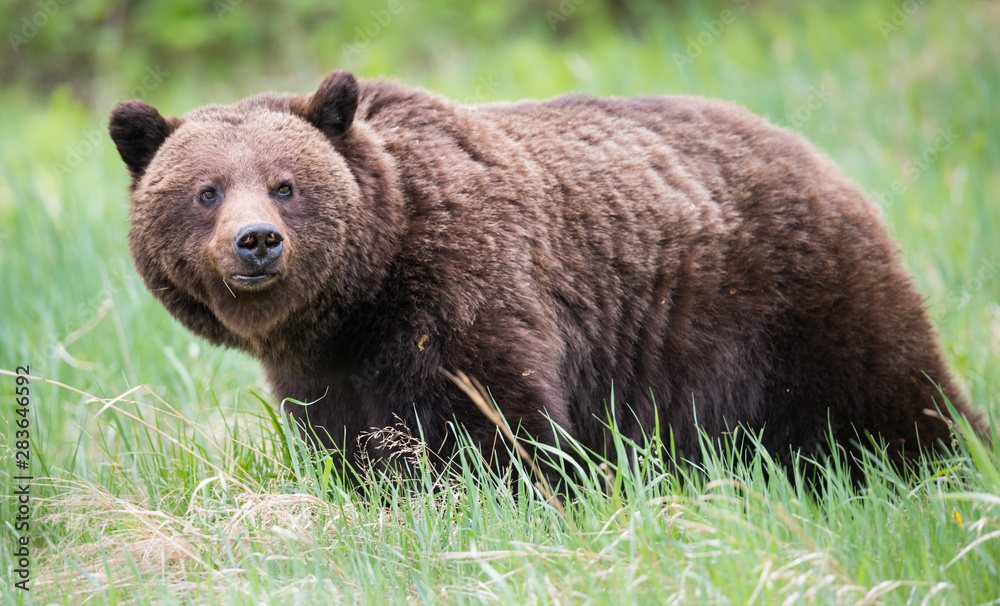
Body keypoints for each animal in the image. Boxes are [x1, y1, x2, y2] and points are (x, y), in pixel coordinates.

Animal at [107, 70, 984, 480]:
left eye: (286, 183)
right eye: (206, 190)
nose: (257, 242)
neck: (361, 296)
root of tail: (814, 153)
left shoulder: (459, 292)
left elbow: (494, 423)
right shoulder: (321, 368)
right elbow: (344, 443)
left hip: (791, 298)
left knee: (893, 392)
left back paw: (946, 461)